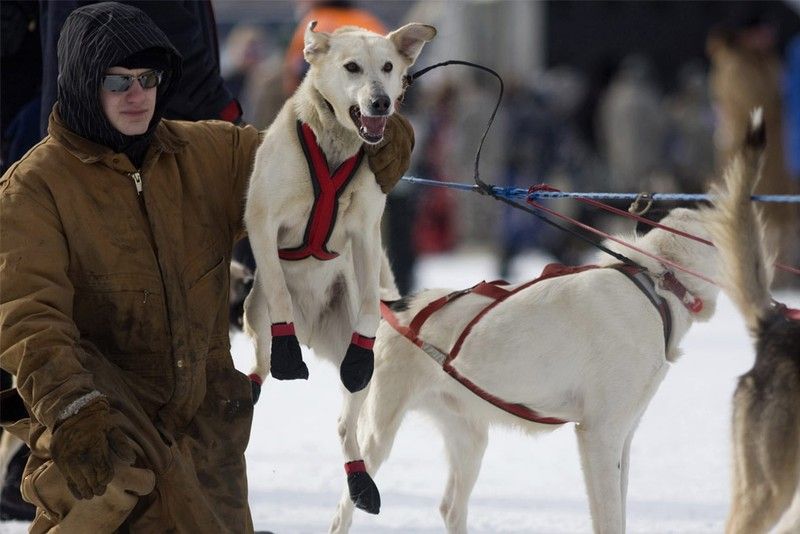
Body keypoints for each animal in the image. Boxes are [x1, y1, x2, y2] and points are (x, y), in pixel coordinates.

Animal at [242, 22, 434, 394]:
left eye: (388, 67)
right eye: (352, 67)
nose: (381, 102)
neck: (334, 149)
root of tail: (309, 330)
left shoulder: (366, 231)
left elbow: (371, 307)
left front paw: (360, 356)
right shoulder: (262, 220)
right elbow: (278, 290)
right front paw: (286, 352)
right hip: (257, 318)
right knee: (259, 363)